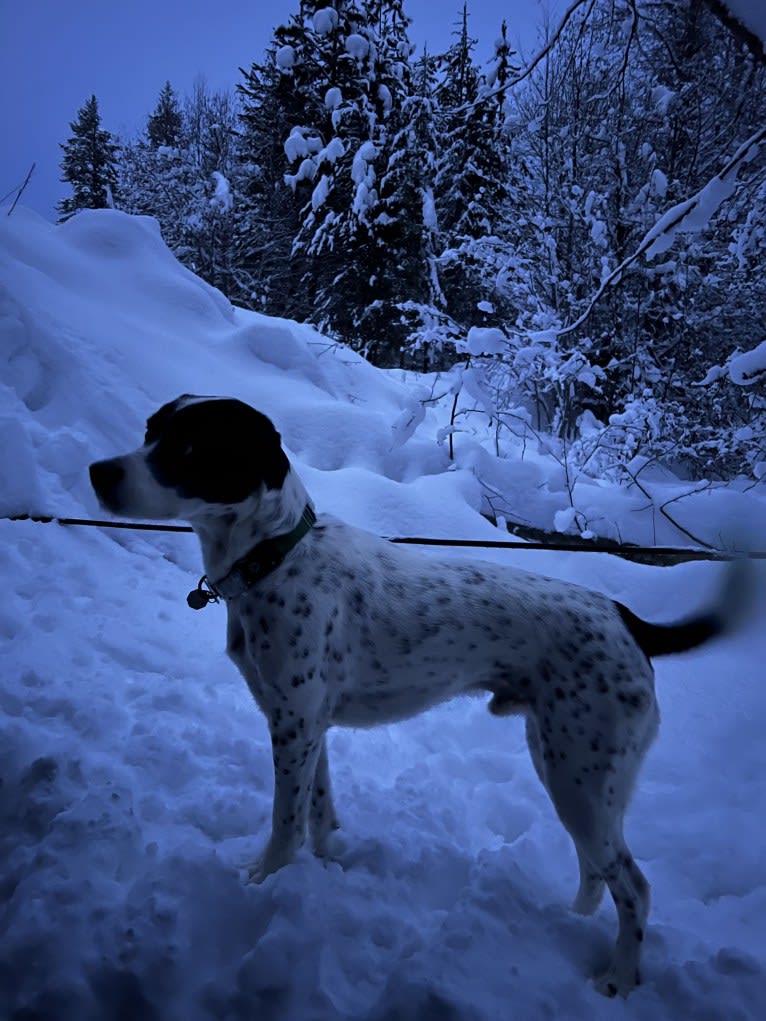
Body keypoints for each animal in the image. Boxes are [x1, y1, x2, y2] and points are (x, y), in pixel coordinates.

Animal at [86, 396, 747, 996]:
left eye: (190, 447)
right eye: (150, 428)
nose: (98, 472)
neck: (274, 560)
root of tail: (627, 619)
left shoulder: (293, 726)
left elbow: (285, 823)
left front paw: (263, 879)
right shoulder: (309, 726)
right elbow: (319, 813)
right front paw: (328, 866)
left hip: (580, 777)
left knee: (634, 886)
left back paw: (619, 978)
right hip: (565, 766)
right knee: (594, 870)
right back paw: (573, 923)